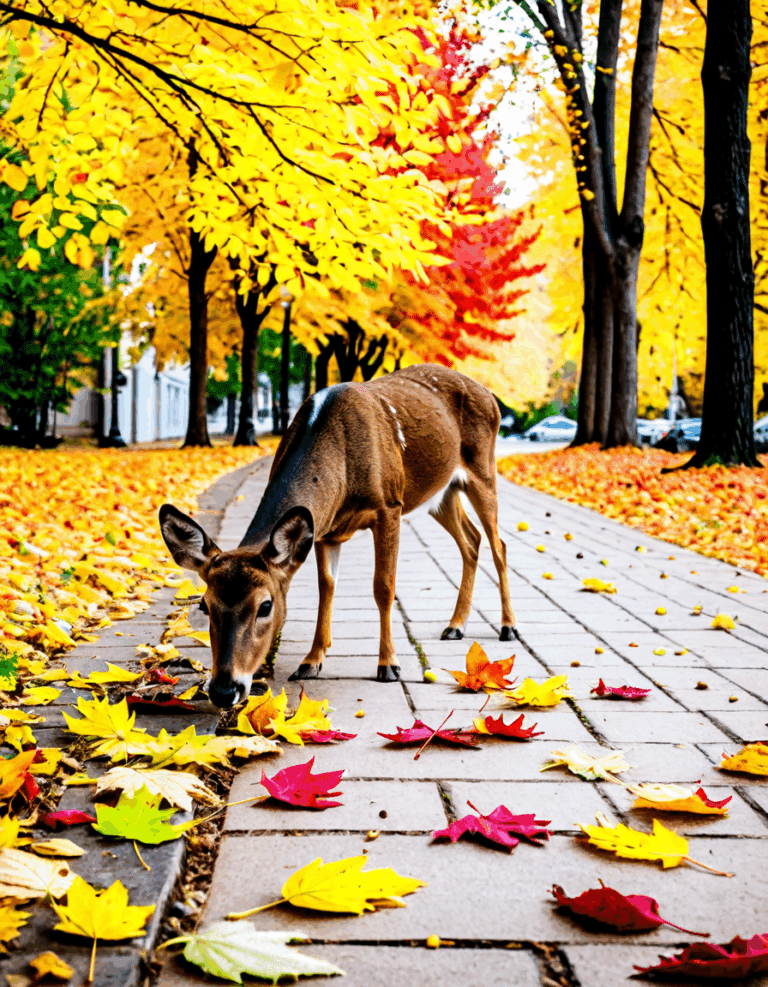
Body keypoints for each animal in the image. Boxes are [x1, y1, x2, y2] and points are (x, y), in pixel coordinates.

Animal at [159, 364, 516, 709]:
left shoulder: (390, 505)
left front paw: (389, 664)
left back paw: (508, 627)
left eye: (265, 606)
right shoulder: (325, 531)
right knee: (471, 540)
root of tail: (491, 397)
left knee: (498, 543)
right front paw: (311, 661)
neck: (343, 471)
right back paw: (455, 626)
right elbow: (326, 588)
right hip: (440, 492)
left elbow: (383, 587)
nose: (223, 690)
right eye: (204, 605)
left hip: (482, 470)